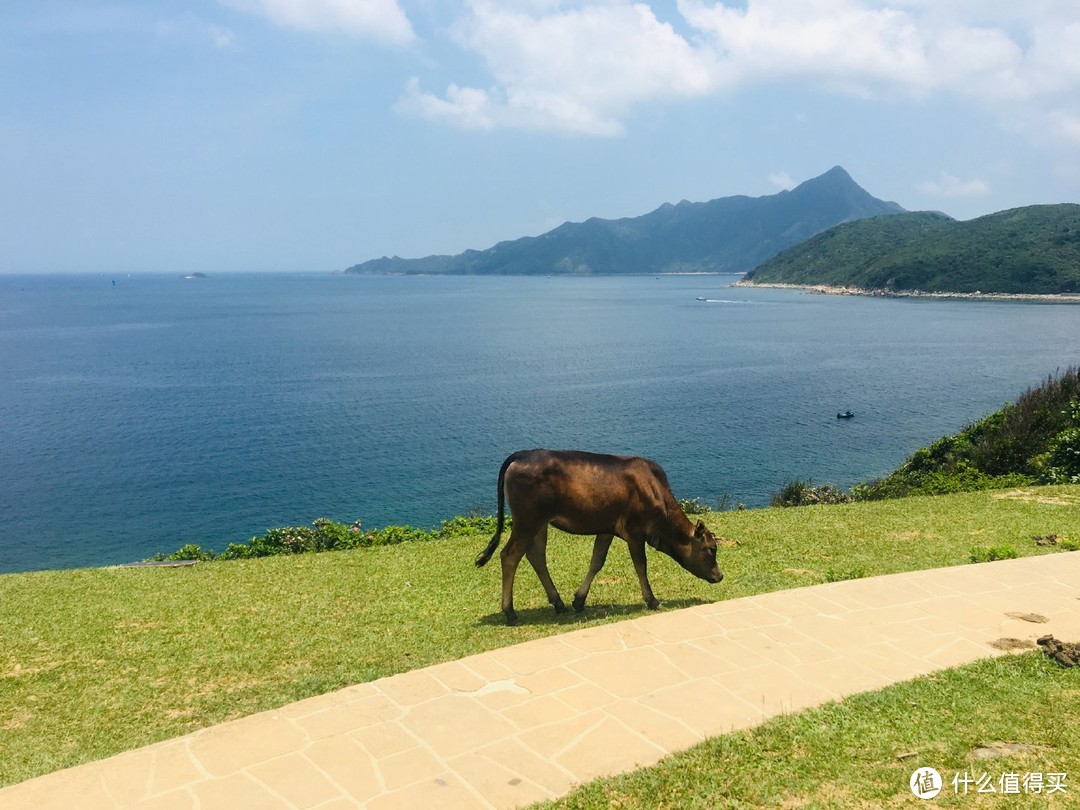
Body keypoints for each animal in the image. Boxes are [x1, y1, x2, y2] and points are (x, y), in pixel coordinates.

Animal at [475, 451, 721, 626]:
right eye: (711, 548)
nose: (719, 576)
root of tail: (521, 454)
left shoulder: (607, 529)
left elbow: (597, 561)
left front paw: (579, 600)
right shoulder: (634, 532)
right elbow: (641, 565)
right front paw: (652, 600)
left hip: (539, 524)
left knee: (536, 557)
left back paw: (558, 603)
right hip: (527, 521)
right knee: (509, 555)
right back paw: (510, 612)